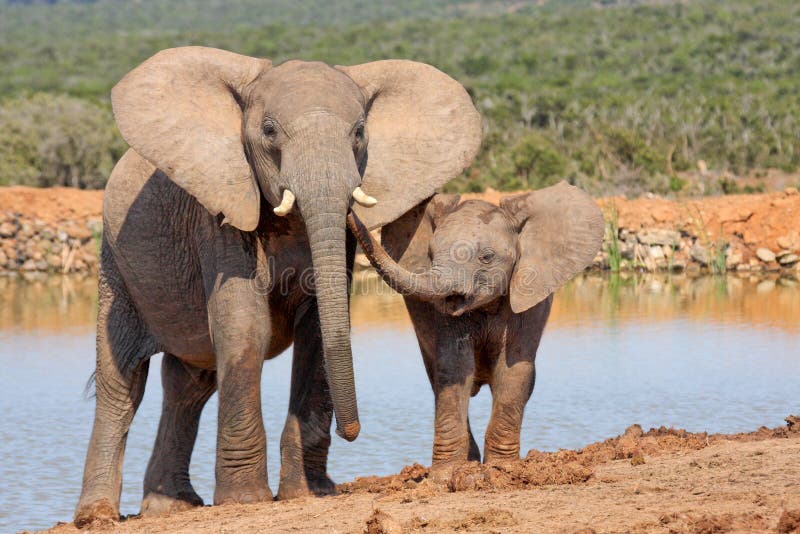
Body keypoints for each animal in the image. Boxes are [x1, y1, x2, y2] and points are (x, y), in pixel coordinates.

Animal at [74, 46, 481, 527]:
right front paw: (245, 500)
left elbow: (319, 330)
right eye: (268, 131)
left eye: (360, 132)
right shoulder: (222, 211)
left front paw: (309, 492)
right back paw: (96, 516)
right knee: (122, 384)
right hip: (115, 265)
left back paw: (169, 506)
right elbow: (244, 327)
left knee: (189, 384)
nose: (352, 432)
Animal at [347, 181, 604, 476]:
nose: (349, 209)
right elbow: (455, 366)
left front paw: (503, 469)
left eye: (487, 257)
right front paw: (445, 474)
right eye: (430, 255)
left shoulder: (527, 294)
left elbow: (513, 369)